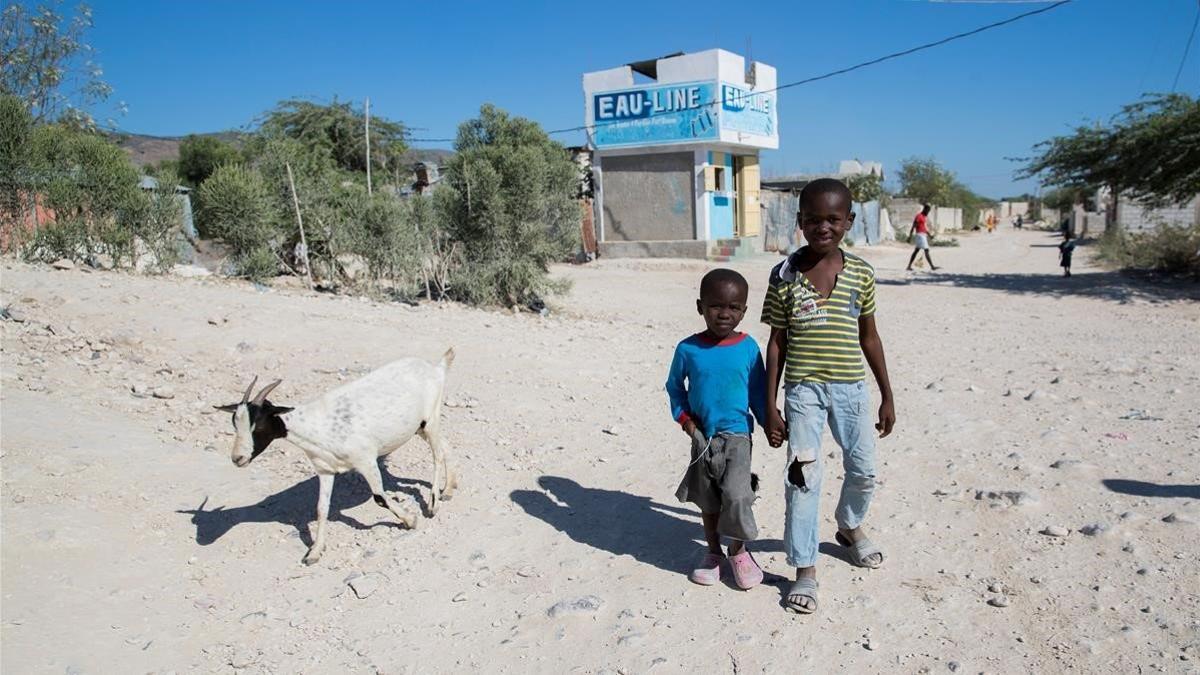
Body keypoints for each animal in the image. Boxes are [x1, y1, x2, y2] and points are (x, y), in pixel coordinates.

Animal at [216, 345, 458, 562]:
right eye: (234, 424)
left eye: (258, 425)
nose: (237, 458)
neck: (316, 426)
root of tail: (436, 368)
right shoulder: (325, 469)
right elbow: (321, 508)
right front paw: (314, 552)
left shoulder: (365, 460)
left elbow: (379, 497)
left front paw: (410, 520)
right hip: (419, 427)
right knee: (446, 446)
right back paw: (448, 489)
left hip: (430, 419)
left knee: (437, 455)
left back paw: (433, 503)